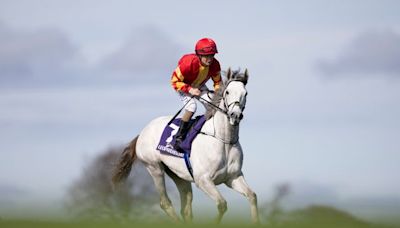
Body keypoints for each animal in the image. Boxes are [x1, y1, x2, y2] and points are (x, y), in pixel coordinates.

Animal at [111, 67, 260, 223]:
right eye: (228, 92)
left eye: (245, 93)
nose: (235, 116)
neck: (223, 140)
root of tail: (142, 132)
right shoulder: (203, 180)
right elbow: (222, 204)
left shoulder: (233, 177)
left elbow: (252, 196)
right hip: (154, 168)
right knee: (165, 203)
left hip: (178, 175)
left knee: (186, 206)